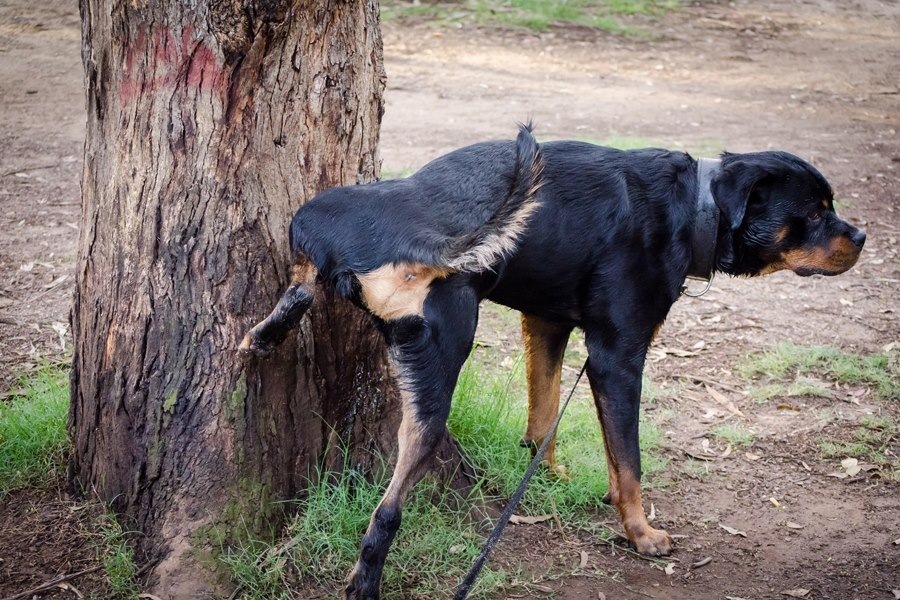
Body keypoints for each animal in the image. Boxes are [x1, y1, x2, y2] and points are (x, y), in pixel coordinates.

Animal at [239, 124, 864, 596]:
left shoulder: (548, 325)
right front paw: (641, 533)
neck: (697, 208)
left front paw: (553, 479)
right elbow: (630, 459)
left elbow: (544, 423)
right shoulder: (617, 354)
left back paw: (261, 338)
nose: (860, 236)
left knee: (298, 290)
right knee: (387, 509)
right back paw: (364, 583)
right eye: (815, 213)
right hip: (441, 361)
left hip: (316, 244)